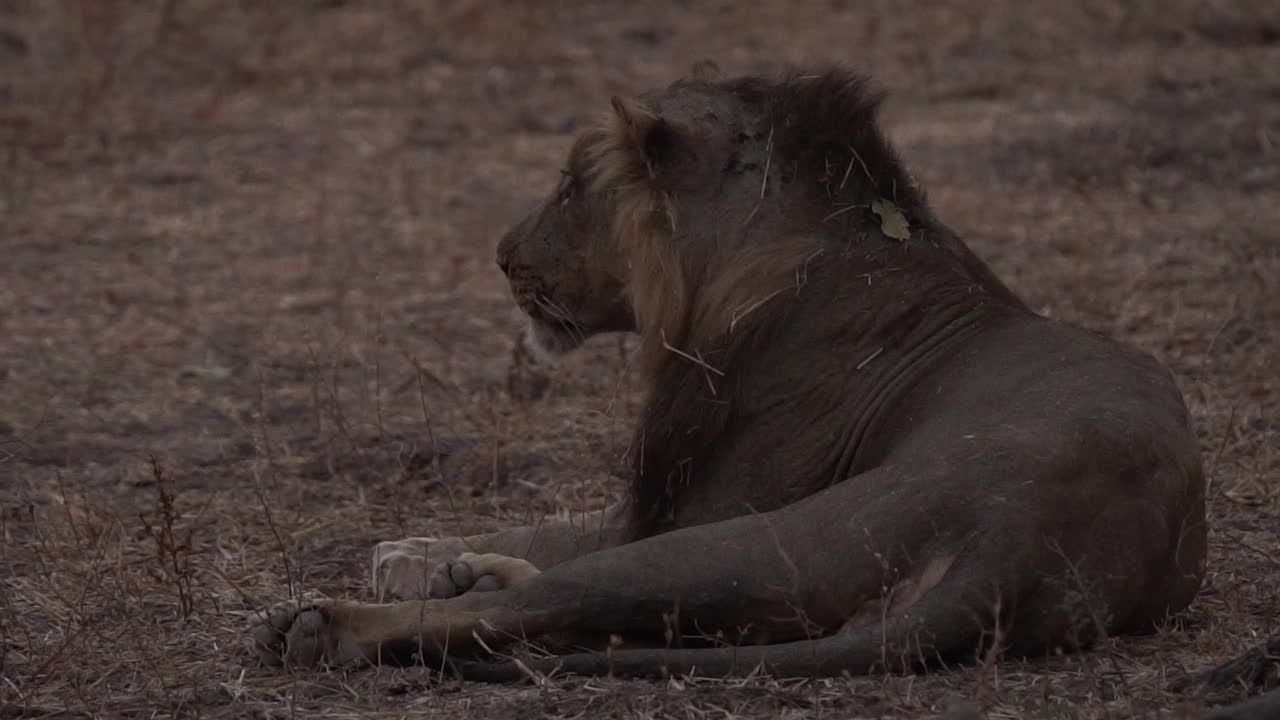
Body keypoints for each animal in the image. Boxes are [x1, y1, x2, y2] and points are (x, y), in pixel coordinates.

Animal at [252, 64, 1208, 676]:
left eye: (569, 186)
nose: (501, 256)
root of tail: (1027, 537)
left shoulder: (705, 499)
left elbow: (572, 534)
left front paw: (418, 559)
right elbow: (553, 525)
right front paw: (430, 552)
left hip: (765, 538)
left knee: (554, 605)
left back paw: (320, 628)